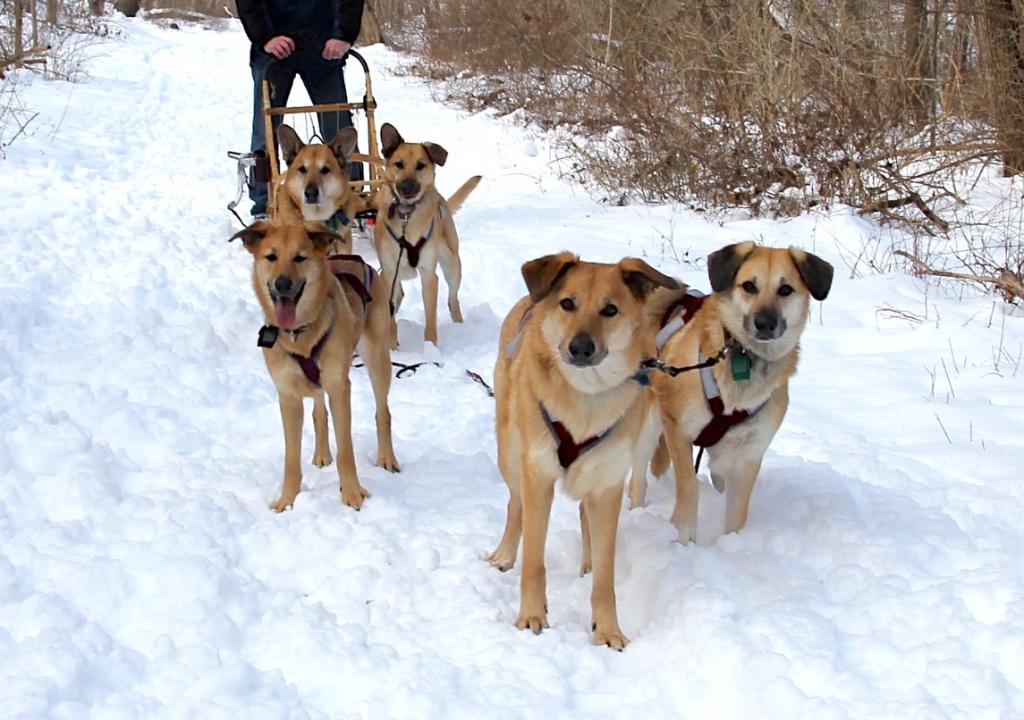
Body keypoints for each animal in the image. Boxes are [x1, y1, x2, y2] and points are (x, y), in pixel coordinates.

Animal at [229, 221, 399, 512]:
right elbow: (291, 456)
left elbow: (346, 449)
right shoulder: (288, 396)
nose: (282, 284)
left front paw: (352, 494)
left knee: (382, 411)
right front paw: (287, 500)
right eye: (271, 257)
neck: (299, 333)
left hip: (377, 360)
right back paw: (321, 453)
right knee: (319, 412)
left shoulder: (339, 387)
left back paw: (387, 458)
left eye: (300, 257)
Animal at [374, 122, 481, 348]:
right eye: (398, 164)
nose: (407, 187)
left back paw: (459, 324)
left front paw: (430, 347)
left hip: (452, 265)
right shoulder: (389, 274)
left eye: (420, 165)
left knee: (453, 299)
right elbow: (390, 317)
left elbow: (430, 317)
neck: (406, 216)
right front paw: (392, 346)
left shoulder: (429, 275)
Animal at [489, 251, 679, 647]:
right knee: (515, 505)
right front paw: (532, 616)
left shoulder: (607, 483)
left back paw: (586, 563)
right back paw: (504, 555)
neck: (586, 399)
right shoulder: (538, 475)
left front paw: (607, 630)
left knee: (582, 515)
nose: (579, 347)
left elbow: (605, 577)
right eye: (567, 304)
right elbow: (534, 560)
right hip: (510, 453)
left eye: (610, 310)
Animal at [622, 241, 831, 540]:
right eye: (749, 286)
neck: (743, 359)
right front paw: (682, 537)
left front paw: (732, 543)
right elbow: (689, 486)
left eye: (785, 289)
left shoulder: (748, 453)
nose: (765, 323)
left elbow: (737, 512)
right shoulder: (677, 429)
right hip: (647, 425)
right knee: (638, 477)